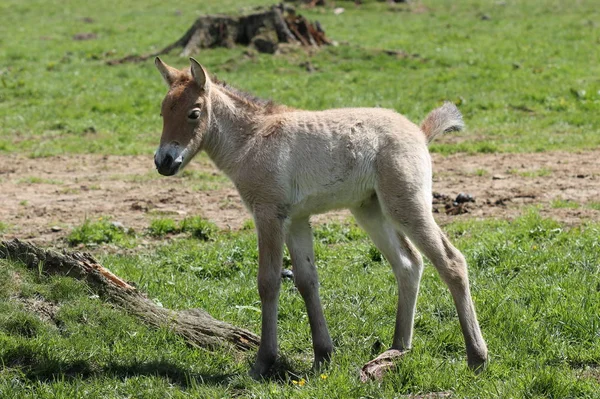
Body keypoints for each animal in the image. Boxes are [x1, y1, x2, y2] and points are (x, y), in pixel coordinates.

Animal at [155, 57, 488, 378]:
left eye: (194, 113)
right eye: (162, 112)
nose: (164, 162)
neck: (251, 139)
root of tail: (419, 133)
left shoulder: (268, 214)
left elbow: (268, 282)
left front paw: (263, 363)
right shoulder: (296, 220)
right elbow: (306, 280)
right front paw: (322, 356)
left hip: (406, 205)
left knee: (451, 261)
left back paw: (476, 356)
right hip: (370, 210)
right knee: (408, 263)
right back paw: (397, 348)